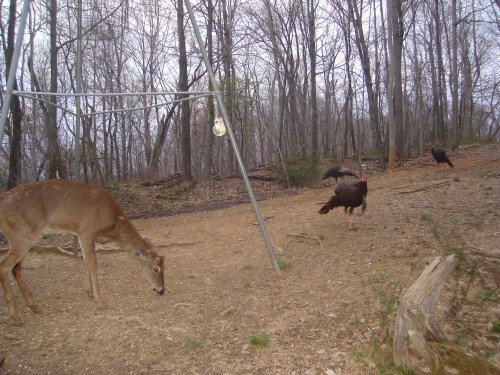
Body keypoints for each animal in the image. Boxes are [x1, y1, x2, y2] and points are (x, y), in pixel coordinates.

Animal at [0, 181, 165, 324]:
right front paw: (100, 301)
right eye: (155, 269)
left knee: (16, 268)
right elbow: (93, 265)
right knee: (4, 266)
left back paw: (34, 306)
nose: (162, 290)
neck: (112, 224)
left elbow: (85, 261)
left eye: (165, 268)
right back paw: (16, 317)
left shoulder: (80, 233)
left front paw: (89, 292)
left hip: (28, 236)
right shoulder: (88, 231)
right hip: (21, 235)